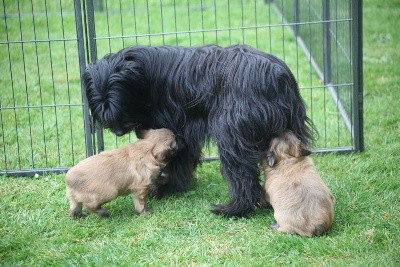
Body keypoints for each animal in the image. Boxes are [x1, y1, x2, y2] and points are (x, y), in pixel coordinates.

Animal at [83, 45, 316, 218]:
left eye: (119, 103)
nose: (117, 130)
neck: (145, 77)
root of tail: (276, 76)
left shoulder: (176, 128)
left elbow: (176, 161)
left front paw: (163, 188)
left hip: (233, 131)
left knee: (242, 173)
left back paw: (234, 209)